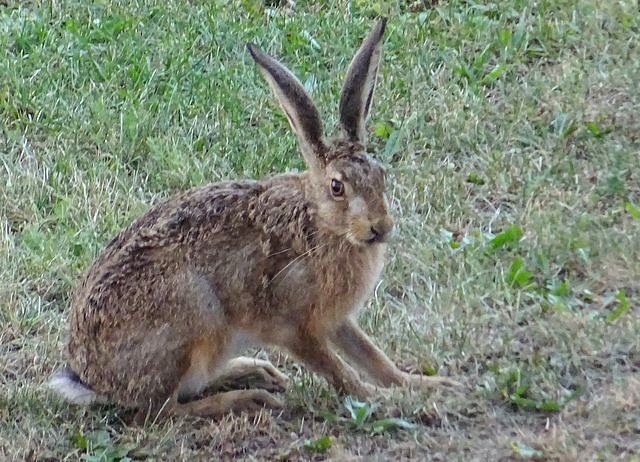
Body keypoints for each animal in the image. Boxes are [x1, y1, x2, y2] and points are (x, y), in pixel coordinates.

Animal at [48, 17, 460, 419]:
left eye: (381, 175)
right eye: (337, 187)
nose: (381, 227)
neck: (322, 225)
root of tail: (92, 379)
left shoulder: (336, 320)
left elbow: (373, 357)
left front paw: (428, 385)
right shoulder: (293, 326)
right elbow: (338, 371)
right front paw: (379, 399)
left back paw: (255, 372)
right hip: (195, 320)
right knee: (162, 412)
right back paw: (249, 398)